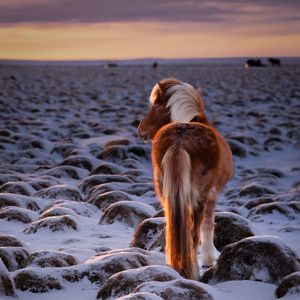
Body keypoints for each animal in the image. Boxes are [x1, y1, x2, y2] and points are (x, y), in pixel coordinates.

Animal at [138, 78, 234, 280]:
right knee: (194, 233)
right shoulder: (211, 196)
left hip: (167, 194)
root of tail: (179, 140)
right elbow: (208, 226)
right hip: (198, 198)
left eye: (155, 106)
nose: (140, 129)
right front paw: (209, 259)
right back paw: (193, 271)